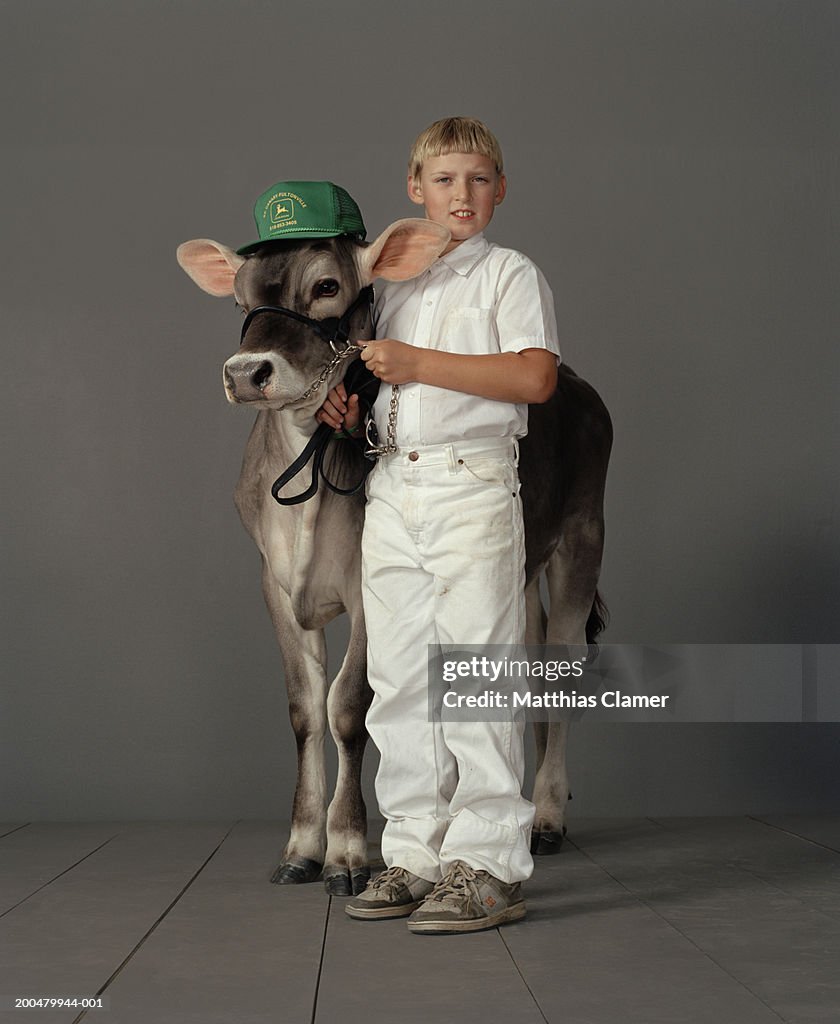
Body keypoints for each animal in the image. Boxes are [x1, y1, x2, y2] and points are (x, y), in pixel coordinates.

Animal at [179, 220, 610, 892]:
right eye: (239, 300)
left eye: (327, 286)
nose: (248, 372)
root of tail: (575, 383)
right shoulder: (274, 584)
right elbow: (306, 710)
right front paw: (301, 846)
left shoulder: (368, 588)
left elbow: (348, 708)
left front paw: (348, 851)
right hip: (516, 565)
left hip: (581, 540)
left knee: (560, 675)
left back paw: (543, 817)